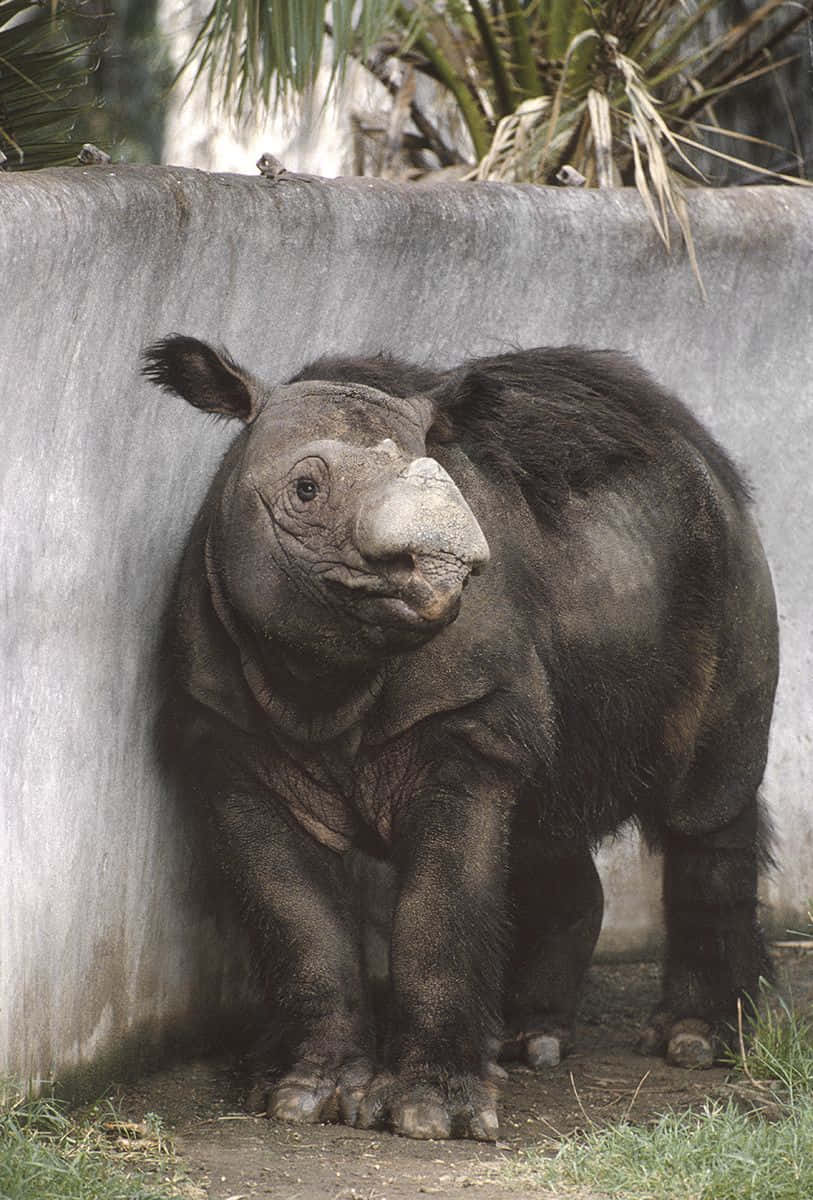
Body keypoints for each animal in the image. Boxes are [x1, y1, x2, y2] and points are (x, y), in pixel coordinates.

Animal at [143, 336, 778, 1142]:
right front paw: (302, 1096)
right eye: (305, 490)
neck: (321, 680)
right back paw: (527, 1043)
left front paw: (426, 1115)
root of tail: (700, 448)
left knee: (707, 800)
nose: (446, 562)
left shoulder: (463, 723)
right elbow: (295, 913)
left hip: (727, 563)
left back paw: (693, 1044)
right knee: (543, 819)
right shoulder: (226, 737)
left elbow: (440, 906)